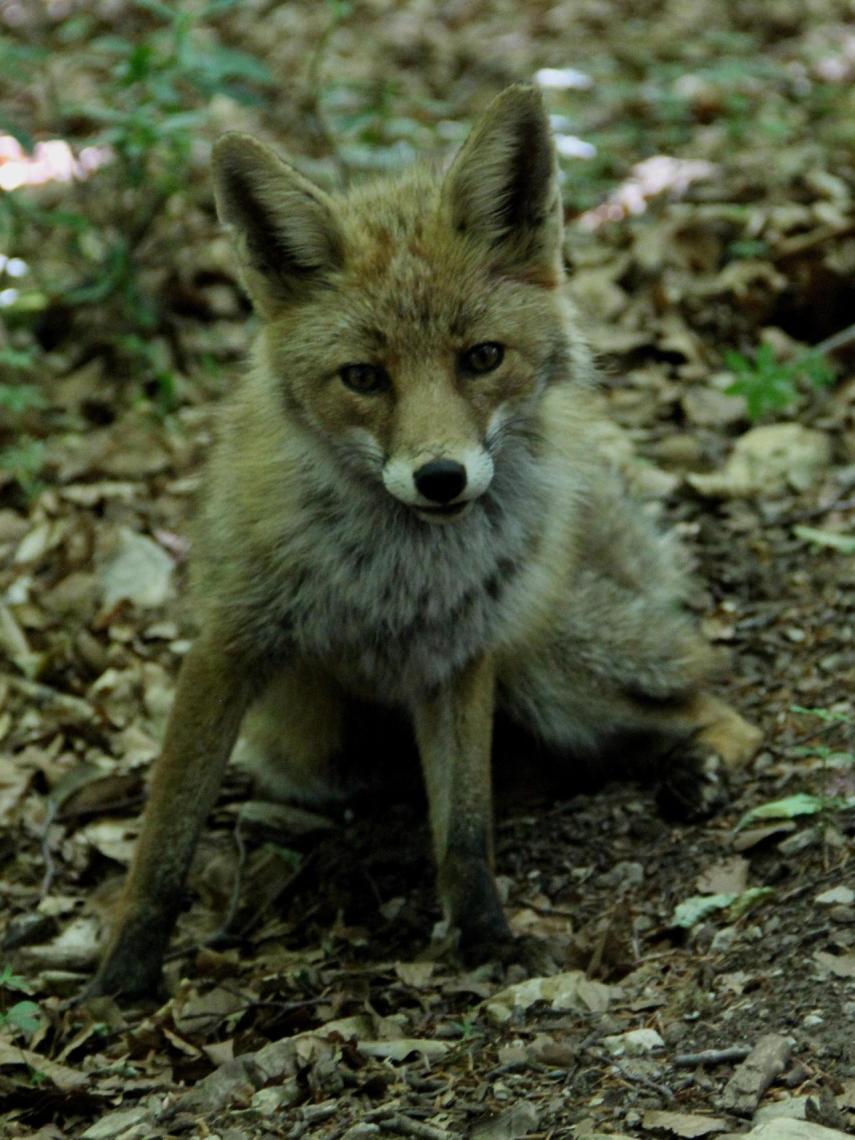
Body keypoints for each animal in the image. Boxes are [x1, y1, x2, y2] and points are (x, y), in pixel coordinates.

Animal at [92, 84, 761, 998]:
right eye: (363, 378)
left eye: (481, 357)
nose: (441, 478)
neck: (397, 576)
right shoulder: (231, 644)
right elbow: (165, 834)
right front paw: (120, 975)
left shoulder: (462, 650)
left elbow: (467, 830)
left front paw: (485, 939)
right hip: (306, 752)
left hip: (548, 669)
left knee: (710, 702)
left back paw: (698, 766)